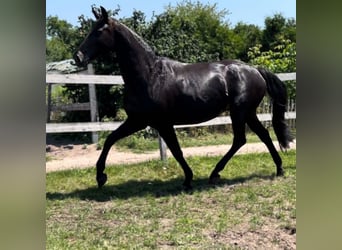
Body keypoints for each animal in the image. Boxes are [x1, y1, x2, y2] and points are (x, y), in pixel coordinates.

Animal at [73, 5, 292, 189]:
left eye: (99, 31)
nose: (78, 57)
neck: (150, 75)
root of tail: (254, 70)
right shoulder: (137, 120)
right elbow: (110, 139)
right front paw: (100, 177)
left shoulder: (161, 123)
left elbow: (176, 150)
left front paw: (188, 179)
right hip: (248, 113)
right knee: (263, 135)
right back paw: (279, 169)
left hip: (239, 112)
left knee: (240, 139)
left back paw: (215, 173)